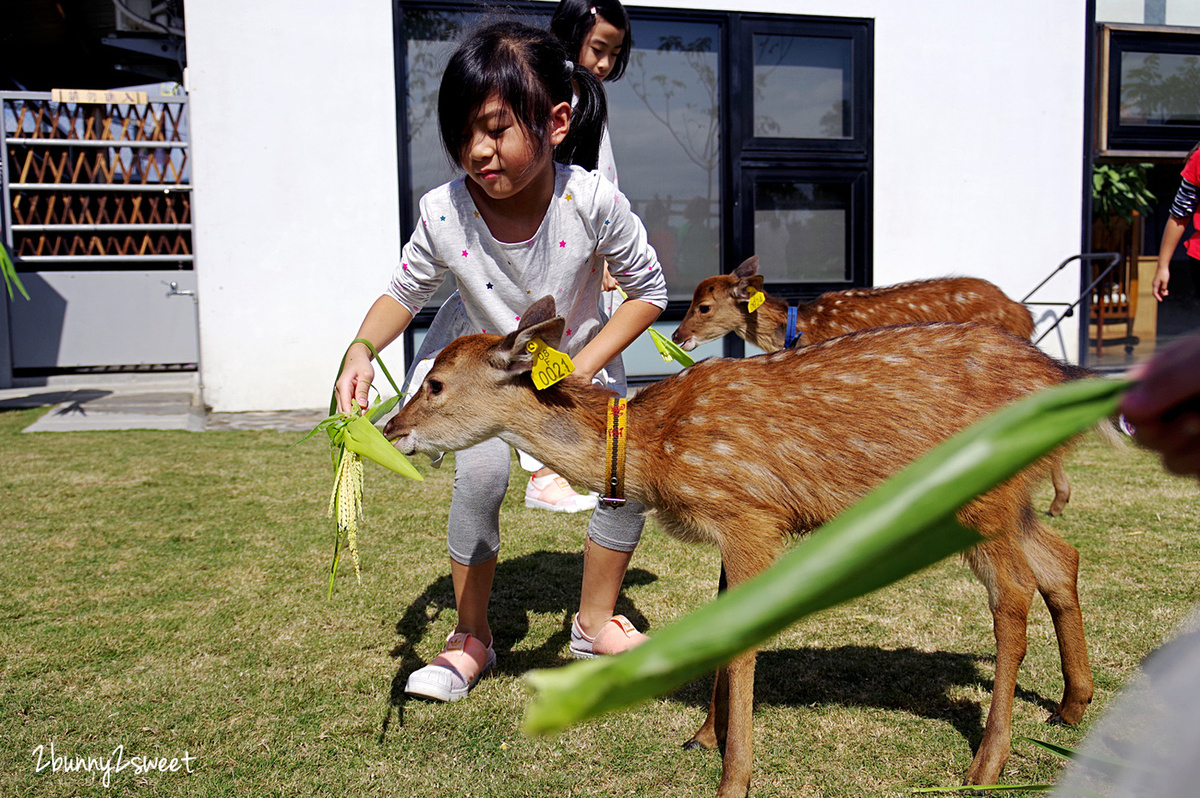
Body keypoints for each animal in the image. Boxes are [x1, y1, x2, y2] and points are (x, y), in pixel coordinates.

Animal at [388, 297, 1099, 796]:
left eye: (436, 383)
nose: (391, 427)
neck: (653, 452)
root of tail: (1058, 379)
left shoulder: (751, 513)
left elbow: (745, 636)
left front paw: (735, 779)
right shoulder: (730, 531)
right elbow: (722, 622)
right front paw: (704, 737)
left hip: (985, 498)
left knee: (1013, 595)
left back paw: (987, 764)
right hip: (1013, 499)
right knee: (1060, 558)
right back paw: (1070, 707)